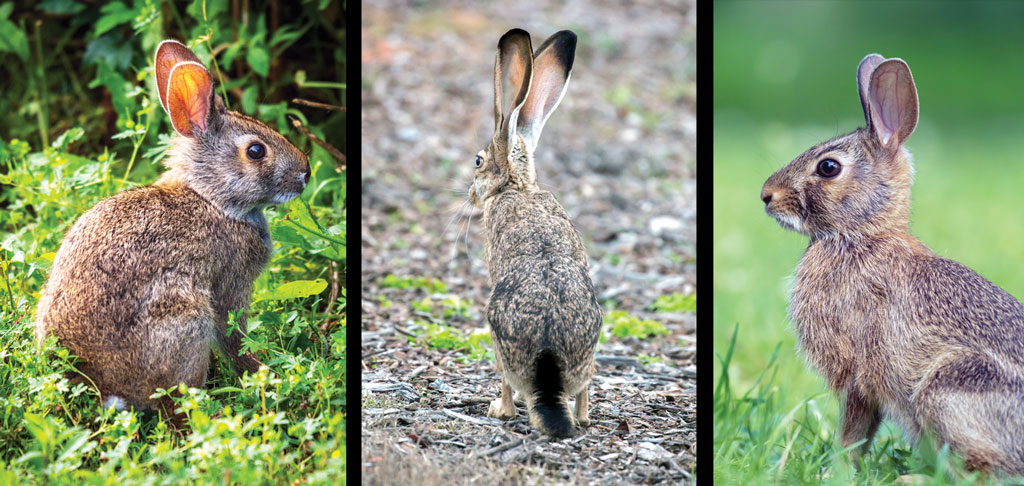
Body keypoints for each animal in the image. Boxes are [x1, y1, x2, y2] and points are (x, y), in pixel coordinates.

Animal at [34, 39, 309, 417]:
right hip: (185, 319)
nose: (306, 172)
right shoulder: (232, 284)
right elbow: (234, 336)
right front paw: (260, 371)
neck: (210, 198)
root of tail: (99, 386)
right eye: (256, 151)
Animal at [468, 28, 602, 442]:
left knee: (508, 386)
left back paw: (499, 409)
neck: (519, 185)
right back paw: (581, 418)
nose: (471, 193)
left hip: (500, 340)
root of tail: (548, 367)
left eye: (478, 161)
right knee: (584, 392)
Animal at [761, 53, 1024, 474]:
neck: (861, 236)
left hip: (946, 389)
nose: (767, 195)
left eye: (828, 167)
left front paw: (836, 471)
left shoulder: (857, 375)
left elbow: (853, 432)